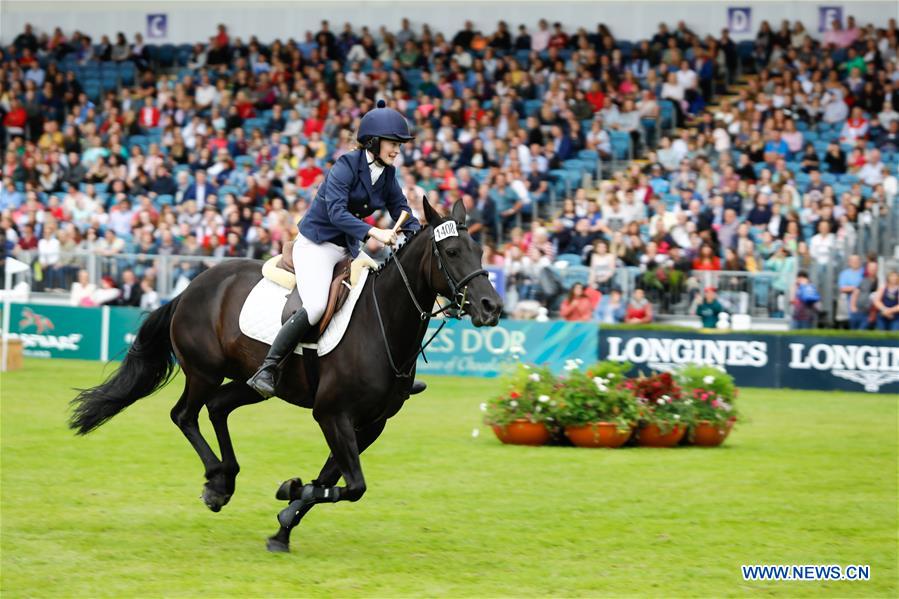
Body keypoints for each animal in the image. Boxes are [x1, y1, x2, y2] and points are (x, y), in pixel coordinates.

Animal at [69, 198, 503, 552]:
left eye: (480, 250)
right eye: (451, 251)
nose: (491, 306)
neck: (381, 323)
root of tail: (191, 287)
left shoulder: (369, 425)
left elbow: (333, 481)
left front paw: (283, 526)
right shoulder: (332, 415)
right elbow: (352, 486)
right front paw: (291, 492)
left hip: (250, 382)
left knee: (218, 408)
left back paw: (225, 480)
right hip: (204, 372)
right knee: (185, 415)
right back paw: (216, 481)